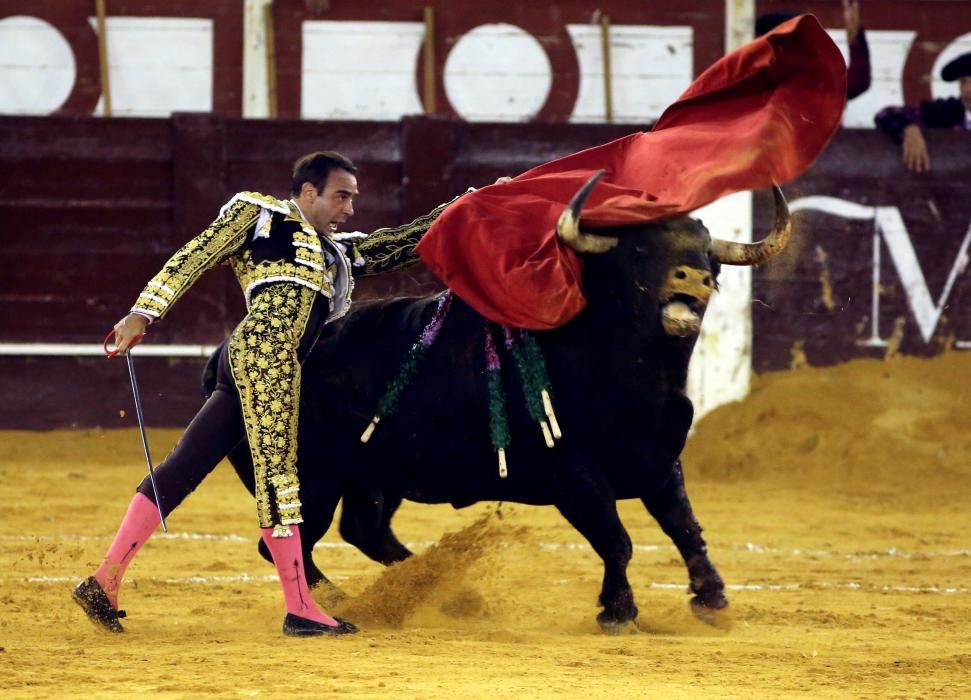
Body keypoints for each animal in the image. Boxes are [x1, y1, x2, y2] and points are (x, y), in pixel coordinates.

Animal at [211, 180, 788, 628]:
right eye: (640, 253)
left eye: (709, 257)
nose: (694, 279)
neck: (627, 372)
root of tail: (222, 355)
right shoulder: (574, 473)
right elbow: (615, 538)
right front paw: (617, 611)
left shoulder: (661, 462)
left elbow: (685, 527)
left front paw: (712, 599)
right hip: (314, 476)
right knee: (292, 540)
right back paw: (347, 601)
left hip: (374, 477)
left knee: (364, 529)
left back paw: (432, 587)